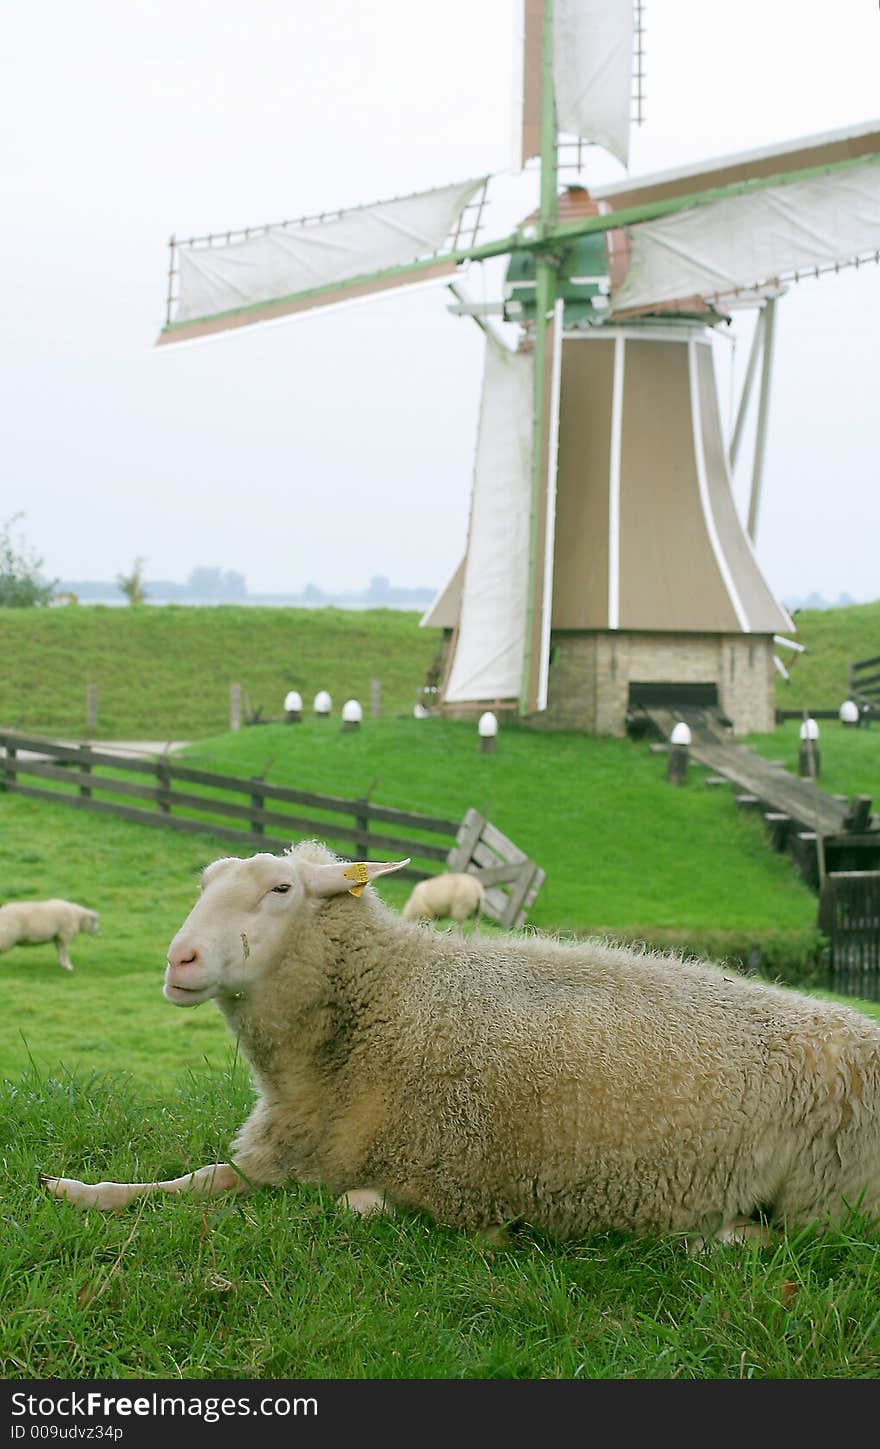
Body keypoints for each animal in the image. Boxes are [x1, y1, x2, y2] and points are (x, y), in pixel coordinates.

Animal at [44, 840, 880, 1246]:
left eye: (281, 889)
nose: (179, 960)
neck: (383, 1003)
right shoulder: (279, 1156)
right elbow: (185, 1183)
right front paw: (78, 1190)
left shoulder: (433, 1173)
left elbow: (355, 1204)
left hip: (833, 1197)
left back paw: (718, 1238)